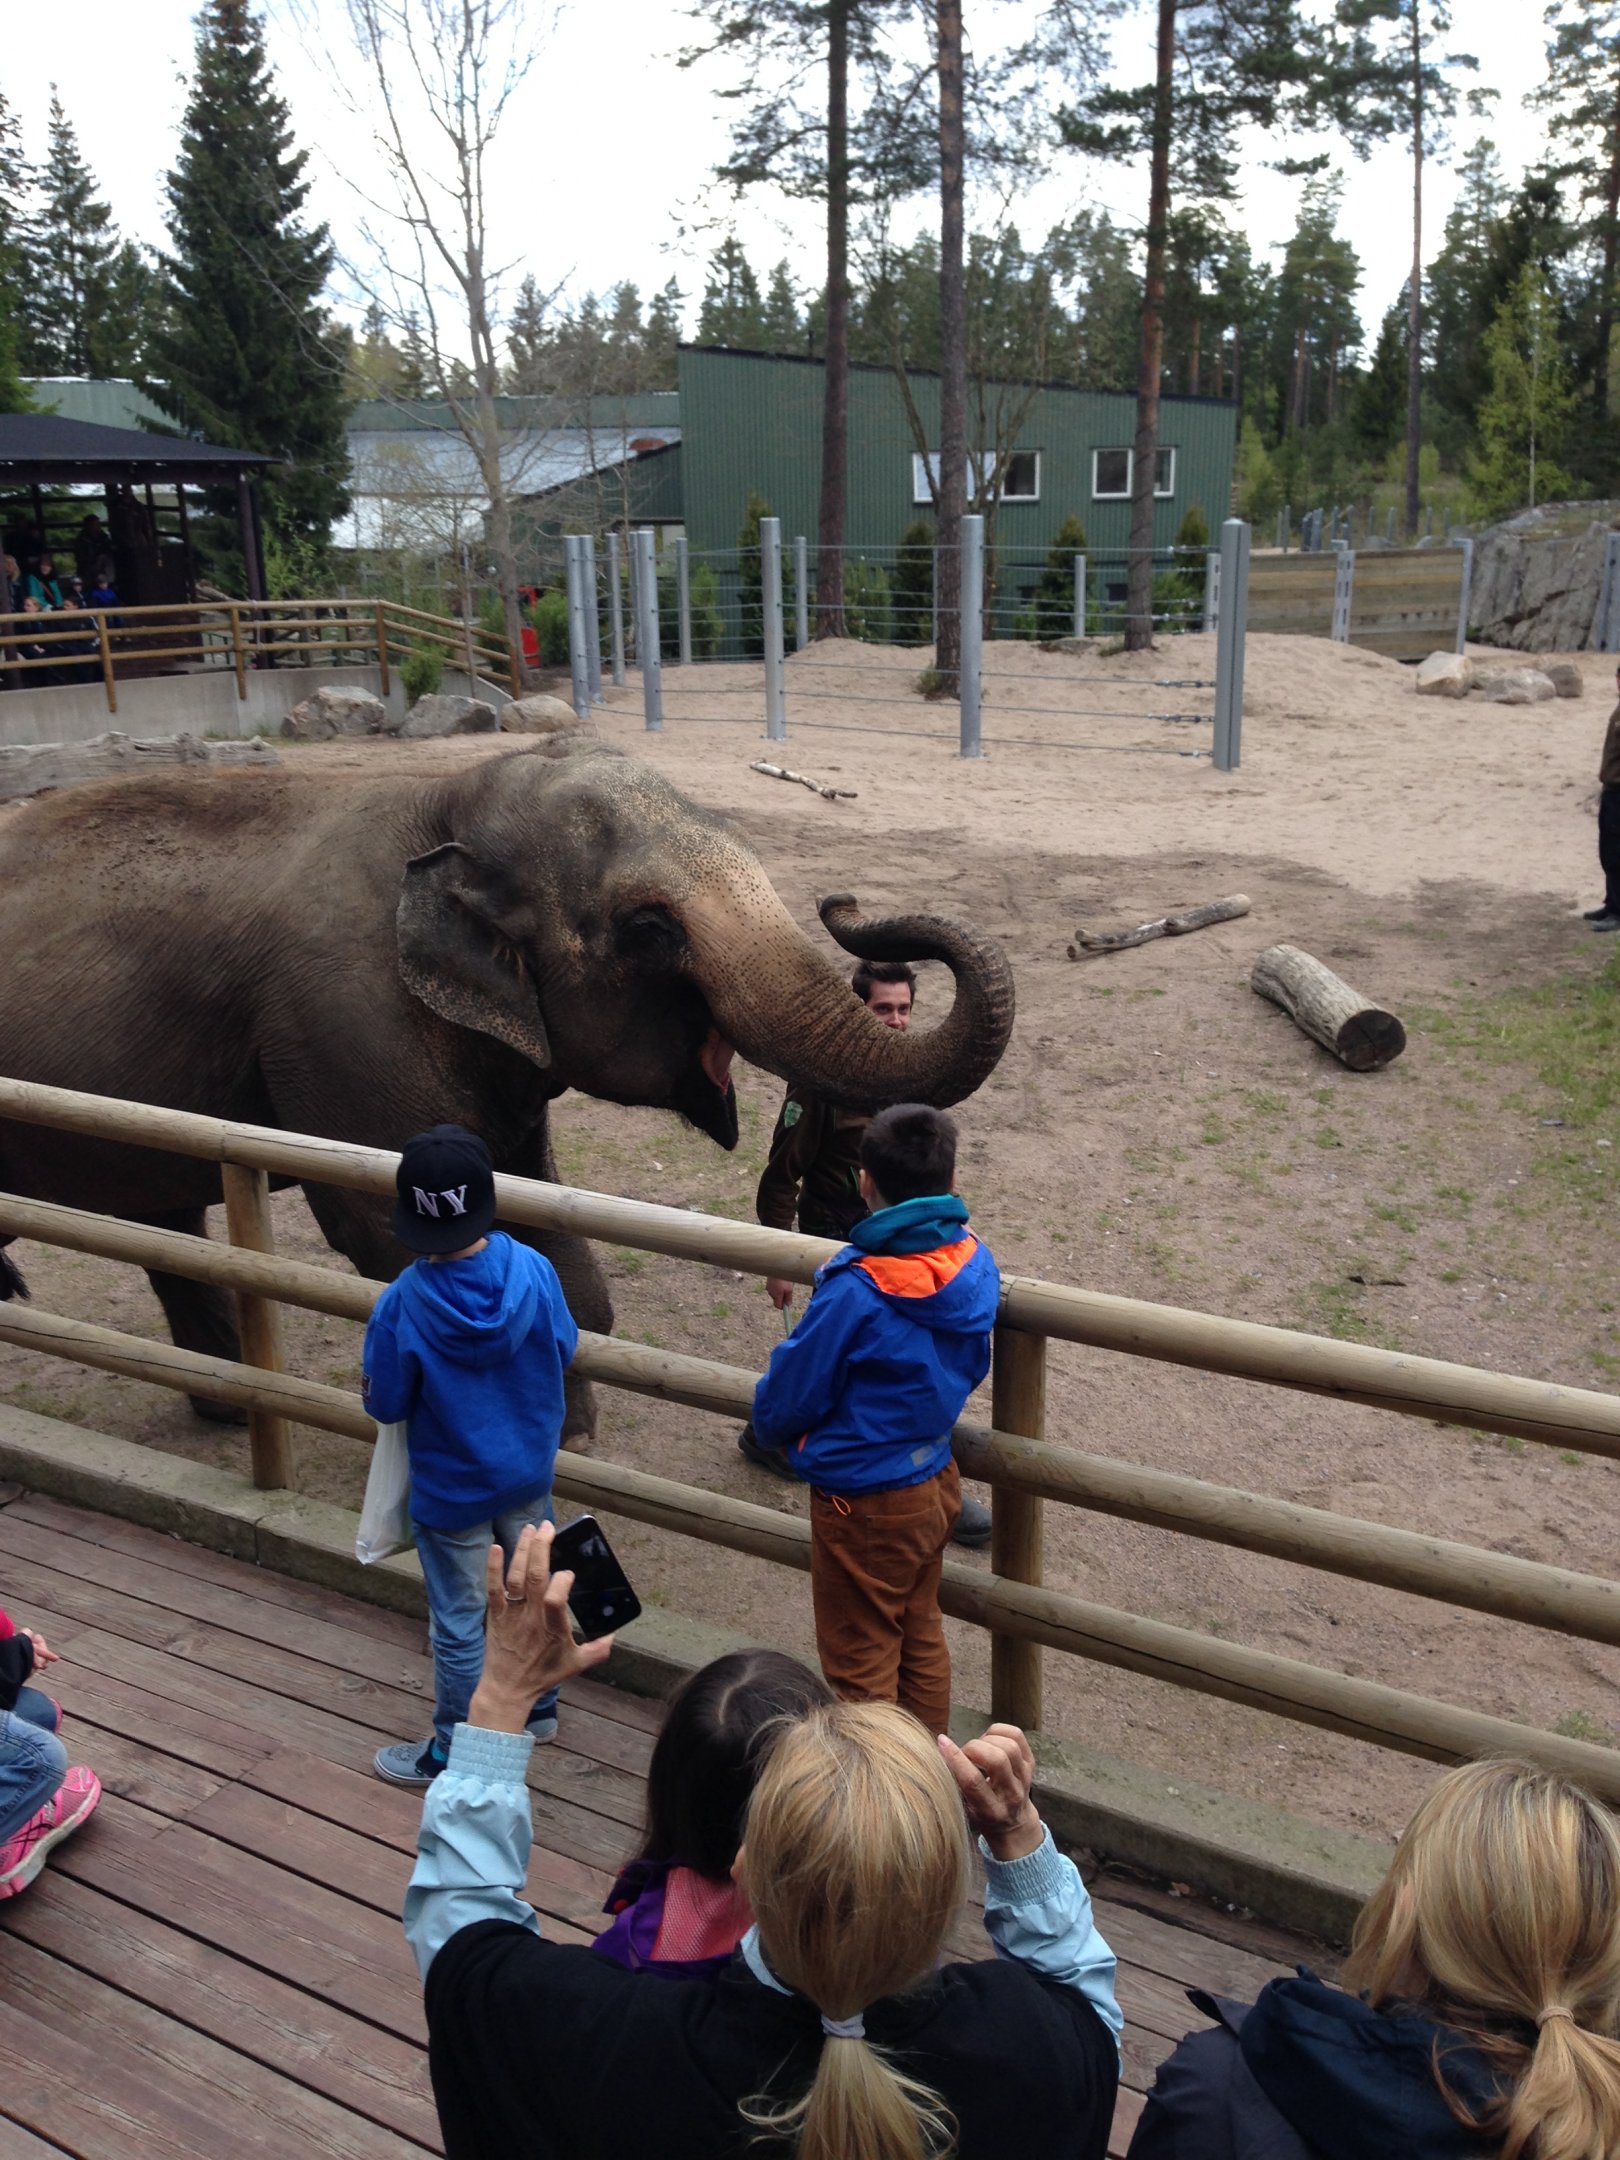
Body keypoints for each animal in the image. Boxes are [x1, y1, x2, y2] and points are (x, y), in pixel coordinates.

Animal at [0, 737, 1015, 1441]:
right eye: (651, 928)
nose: (844, 905)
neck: (442, 799)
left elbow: (539, 1218)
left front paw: (576, 1433)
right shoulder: (343, 1019)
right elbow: (390, 1232)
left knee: (165, 1226)